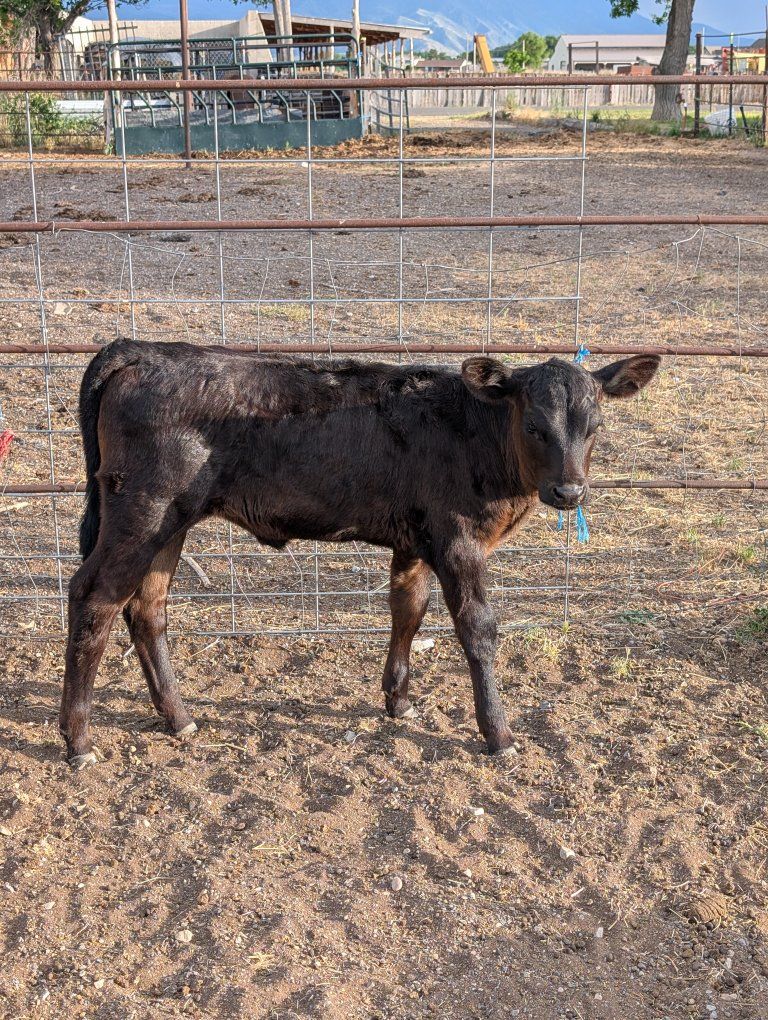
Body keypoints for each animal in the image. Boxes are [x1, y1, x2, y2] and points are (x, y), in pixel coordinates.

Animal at [59, 339, 660, 768]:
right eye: (534, 425)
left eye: (596, 426)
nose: (569, 492)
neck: (475, 434)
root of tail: (142, 349)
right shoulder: (457, 539)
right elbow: (478, 628)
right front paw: (499, 733)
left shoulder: (415, 541)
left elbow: (407, 611)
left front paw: (398, 702)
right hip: (143, 509)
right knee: (95, 596)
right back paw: (78, 739)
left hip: (170, 522)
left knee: (147, 608)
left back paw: (178, 717)